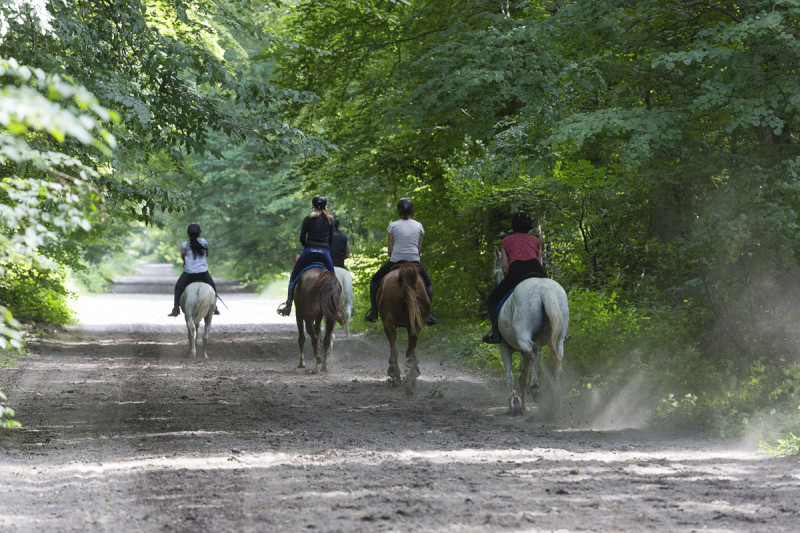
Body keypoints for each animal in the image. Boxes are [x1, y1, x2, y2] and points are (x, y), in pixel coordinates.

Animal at [376, 262, 432, 390]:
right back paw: (410, 372)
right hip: (415, 322)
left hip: (389, 323)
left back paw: (396, 373)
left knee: (395, 349)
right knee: (410, 345)